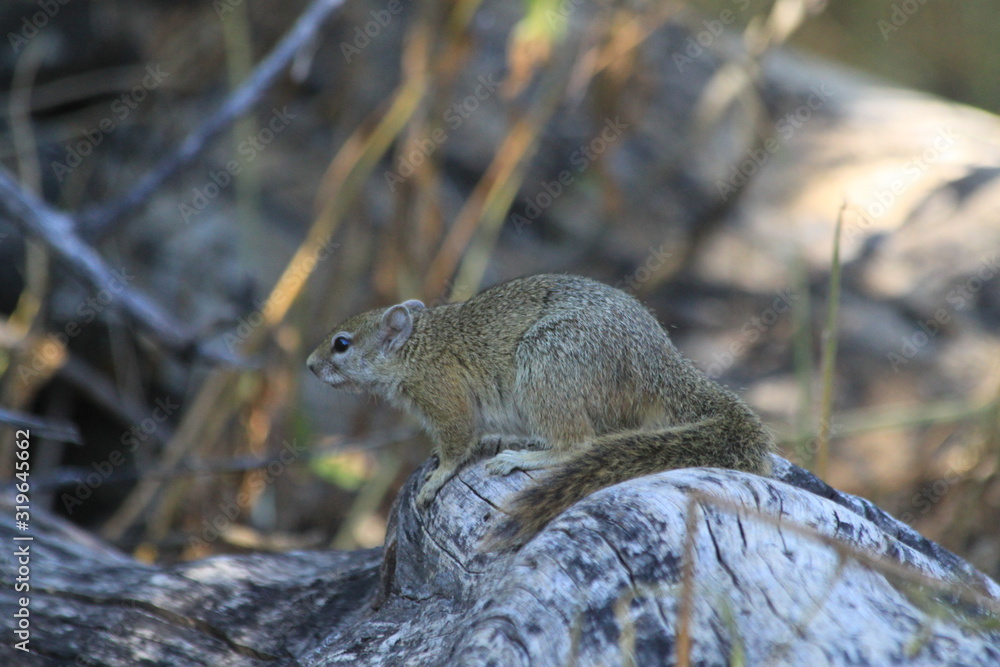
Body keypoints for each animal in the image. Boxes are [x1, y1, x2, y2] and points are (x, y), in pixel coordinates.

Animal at [307, 274, 773, 549]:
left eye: (342, 344)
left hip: (549, 365)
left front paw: (436, 478)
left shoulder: (445, 397)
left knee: (577, 442)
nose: (310, 365)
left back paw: (522, 457)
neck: (417, 349)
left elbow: (458, 446)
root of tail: (657, 365)